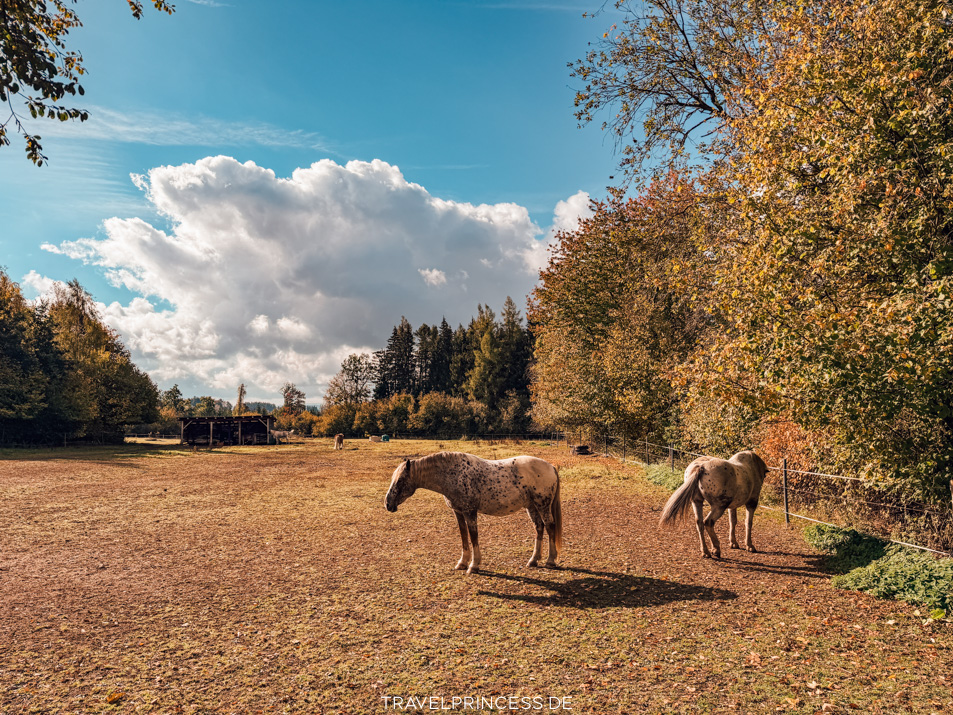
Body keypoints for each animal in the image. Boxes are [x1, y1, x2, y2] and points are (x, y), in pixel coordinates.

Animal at [385, 451, 563, 574]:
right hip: (531, 507)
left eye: (400, 480)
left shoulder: (470, 512)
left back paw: (550, 560)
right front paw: (462, 563)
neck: (453, 474)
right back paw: (533, 560)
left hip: (542, 505)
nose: (387, 504)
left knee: (549, 526)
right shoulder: (459, 512)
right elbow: (464, 536)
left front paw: (474, 565)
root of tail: (551, 467)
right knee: (539, 527)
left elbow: (473, 536)